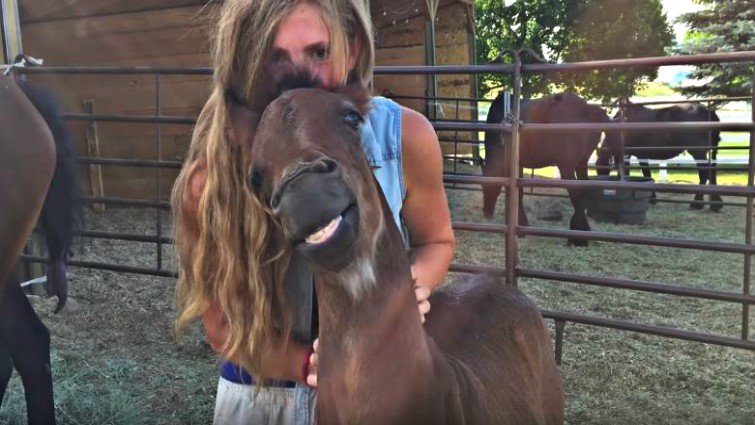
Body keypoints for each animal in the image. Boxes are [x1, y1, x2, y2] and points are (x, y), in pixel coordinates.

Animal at [482, 91, 609, 246]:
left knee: (575, 193)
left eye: (485, 185)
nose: (487, 212)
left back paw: (578, 237)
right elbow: (519, 192)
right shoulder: (519, 164)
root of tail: (587, 109)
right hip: (581, 163)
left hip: (566, 166)